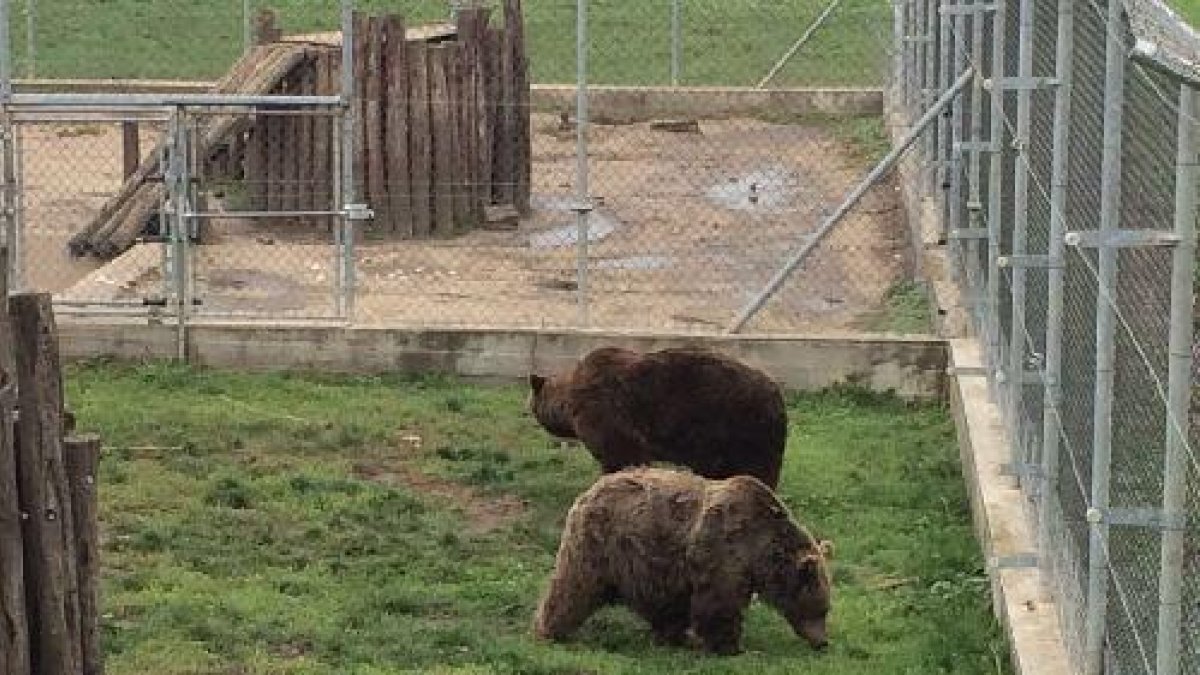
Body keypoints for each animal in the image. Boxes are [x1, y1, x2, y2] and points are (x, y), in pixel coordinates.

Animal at [525, 345, 787, 487]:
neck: (569, 404)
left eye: (532, 407)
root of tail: (776, 393)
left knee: (756, 472)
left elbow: (621, 456)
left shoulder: (607, 417)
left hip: (737, 429)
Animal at [535, 466, 835, 653]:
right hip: (600, 544)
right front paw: (732, 647)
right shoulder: (724, 549)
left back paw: (674, 636)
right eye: (821, 608)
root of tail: (589, 491)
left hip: (646, 561)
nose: (823, 642)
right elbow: (720, 602)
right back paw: (549, 630)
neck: (760, 552)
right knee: (573, 587)